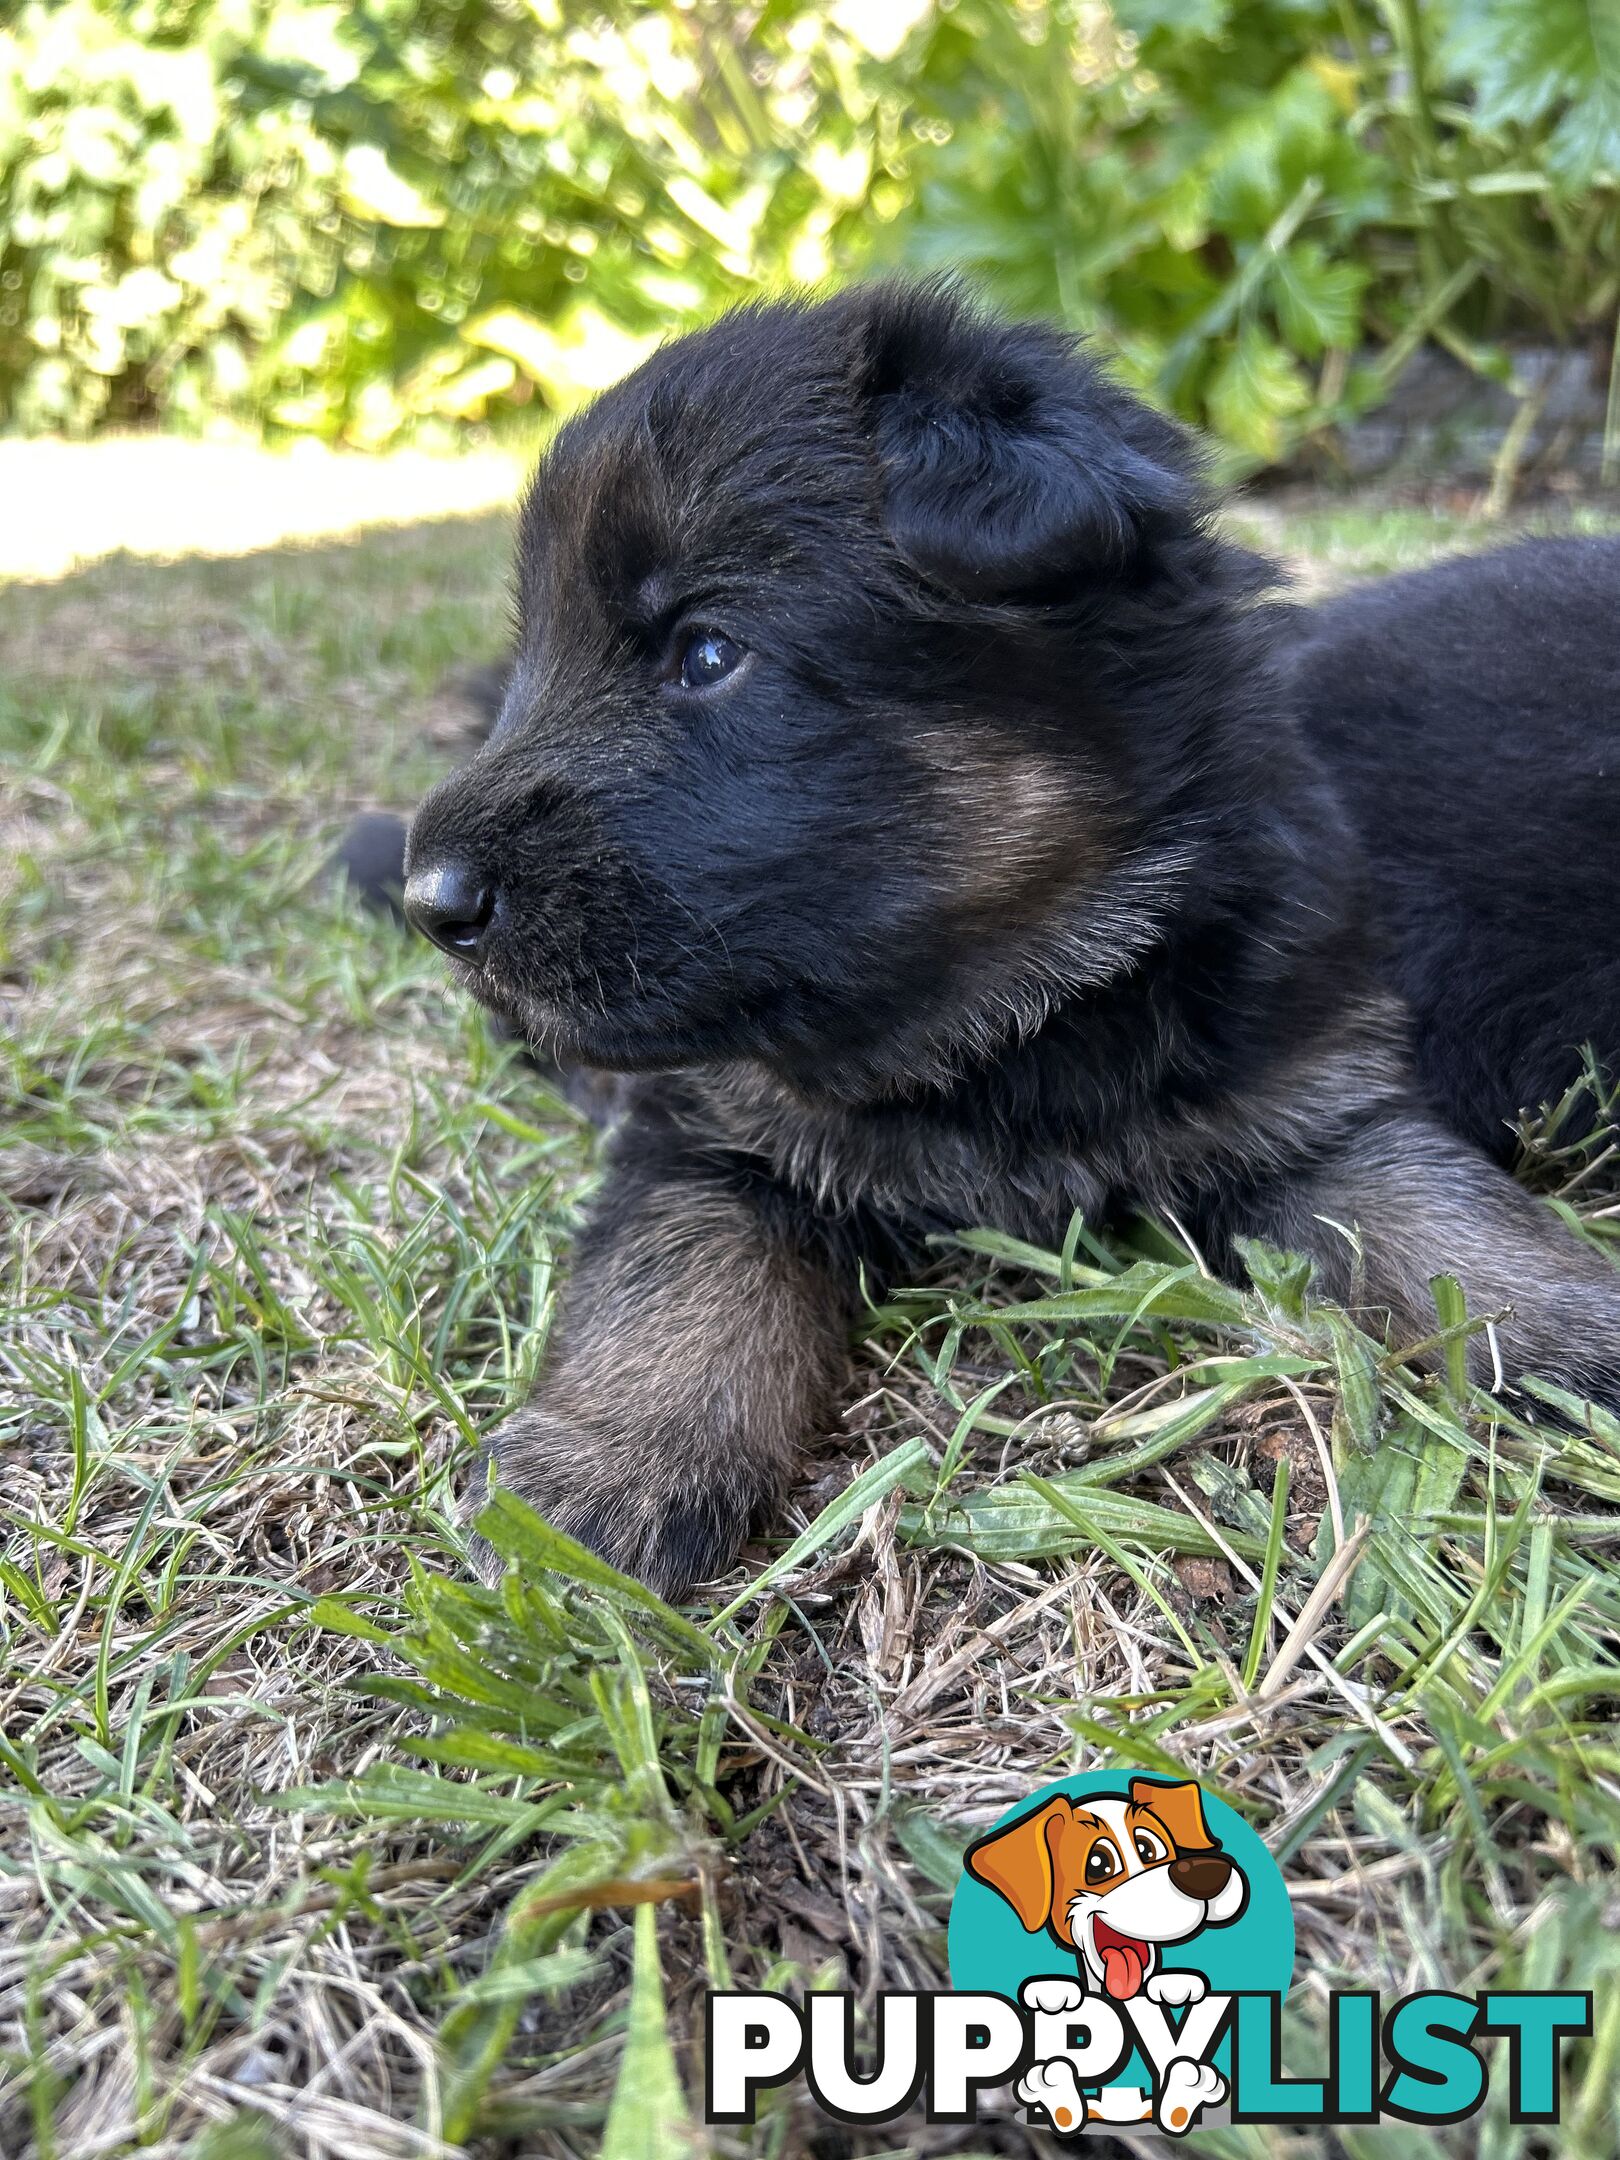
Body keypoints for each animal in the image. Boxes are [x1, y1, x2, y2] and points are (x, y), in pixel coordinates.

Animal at [403, 287, 1620, 1598]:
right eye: (543, 655)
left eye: (709, 652)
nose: (434, 904)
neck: (1012, 1013)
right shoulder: (707, 1131)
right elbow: (678, 1272)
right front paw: (602, 1468)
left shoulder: (1306, 1101)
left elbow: (1443, 1214)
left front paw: (1577, 1324)